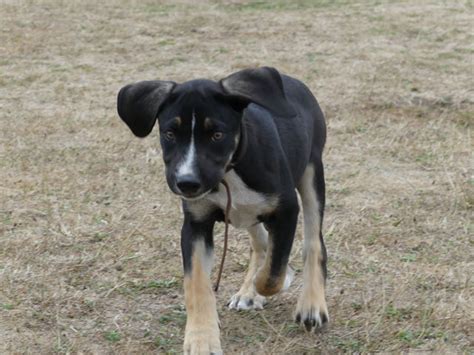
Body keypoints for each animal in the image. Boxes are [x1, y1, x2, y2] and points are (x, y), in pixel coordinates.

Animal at [116, 67, 328, 355]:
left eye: (217, 135)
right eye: (169, 134)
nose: (187, 183)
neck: (230, 171)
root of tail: (291, 80)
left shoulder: (286, 211)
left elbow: (273, 272)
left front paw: (274, 281)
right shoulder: (195, 224)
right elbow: (196, 285)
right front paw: (201, 338)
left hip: (312, 173)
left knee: (313, 243)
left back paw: (311, 305)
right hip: (249, 213)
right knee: (261, 242)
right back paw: (249, 293)